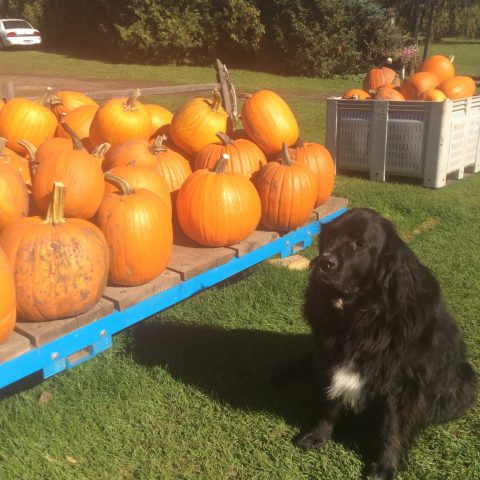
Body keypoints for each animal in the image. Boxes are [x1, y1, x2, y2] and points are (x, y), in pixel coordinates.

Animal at [294, 208, 474, 480]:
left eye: (359, 244)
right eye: (330, 238)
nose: (325, 262)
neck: (361, 315)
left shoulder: (402, 382)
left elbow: (394, 426)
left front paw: (386, 466)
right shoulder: (329, 359)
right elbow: (328, 403)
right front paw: (317, 436)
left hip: (467, 379)